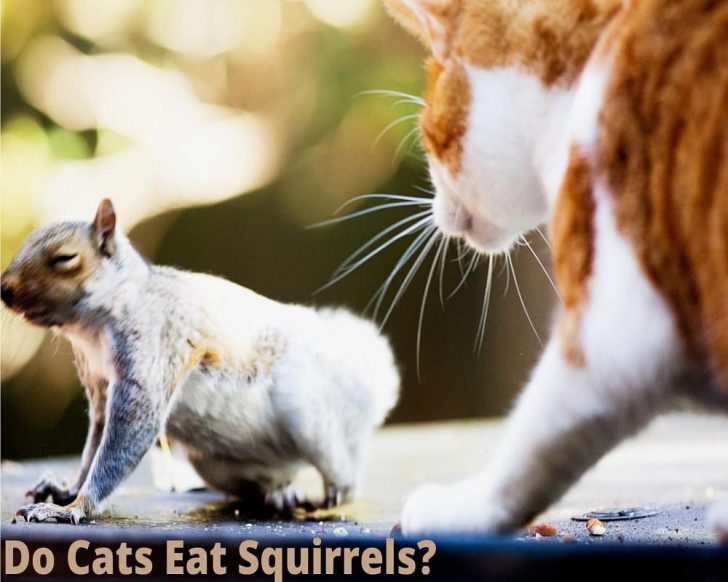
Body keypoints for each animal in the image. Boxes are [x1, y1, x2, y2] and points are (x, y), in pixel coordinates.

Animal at [1, 199, 400, 524]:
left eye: (65, 258)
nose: (5, 289)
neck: (94, 328)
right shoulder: (99, 388)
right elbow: (95, 444)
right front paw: (66, 490)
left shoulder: (153, 352)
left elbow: (122, 442)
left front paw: (72, 508)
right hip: (212, 462)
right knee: (269, 478)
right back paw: (279, 493)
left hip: (308, 416)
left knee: (345, 473)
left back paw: (327, 493)